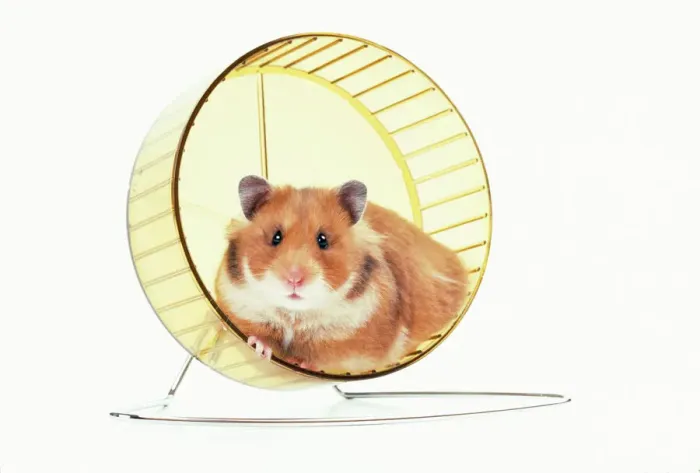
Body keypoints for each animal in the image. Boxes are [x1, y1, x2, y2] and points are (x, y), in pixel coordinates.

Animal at [213, 175, 470, 374]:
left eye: (323, 240)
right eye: (276, 237)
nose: (294, 279)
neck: (295, 316)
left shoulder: (353, 348)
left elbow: (325, 359)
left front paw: (303, 364)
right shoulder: (235, 307)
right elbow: (256, 335)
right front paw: (260, 348)